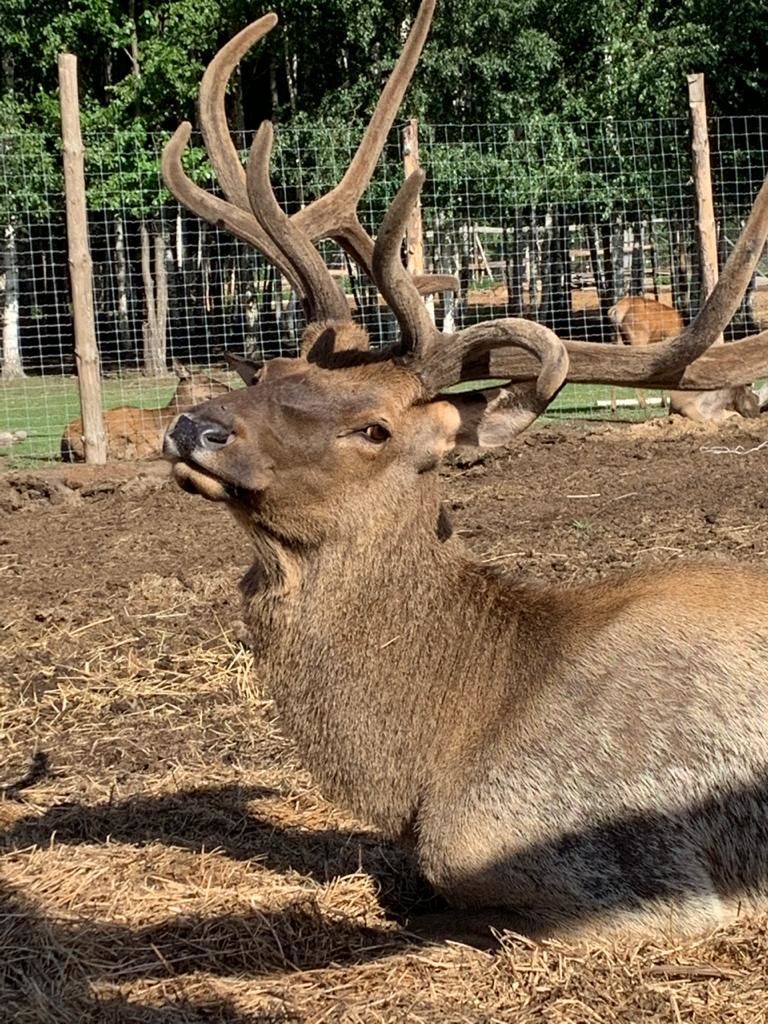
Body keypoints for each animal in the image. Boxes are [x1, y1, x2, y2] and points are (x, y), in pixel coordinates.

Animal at [610, 292, 761, 419]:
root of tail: (616, 311)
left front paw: (664, 401)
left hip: (620, 339)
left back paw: (614, 407)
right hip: (638, 338)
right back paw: (643, 404)